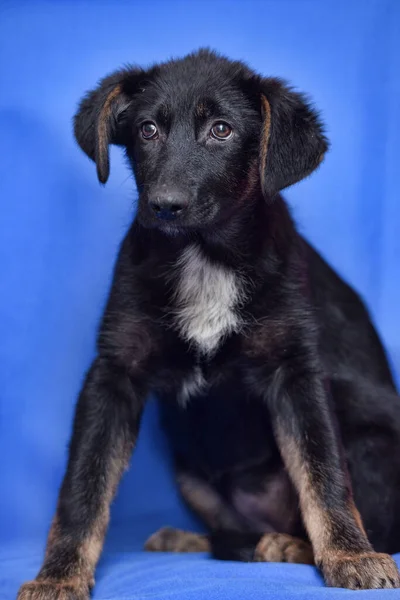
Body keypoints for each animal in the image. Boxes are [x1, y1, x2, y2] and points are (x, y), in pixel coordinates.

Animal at [17, 48, 400, 600]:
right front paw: (59, 574)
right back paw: (198, 538)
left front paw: (350, 555)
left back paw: (289, 545)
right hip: (189, 471)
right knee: (229, 530)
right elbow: (82, 485)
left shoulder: (296, 373)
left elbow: (324, 473)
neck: (204, 256)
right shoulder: (113, 374)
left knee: (372, 521)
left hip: (369, 437)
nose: (164, 205)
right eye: (148, 130)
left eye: (222, 130)